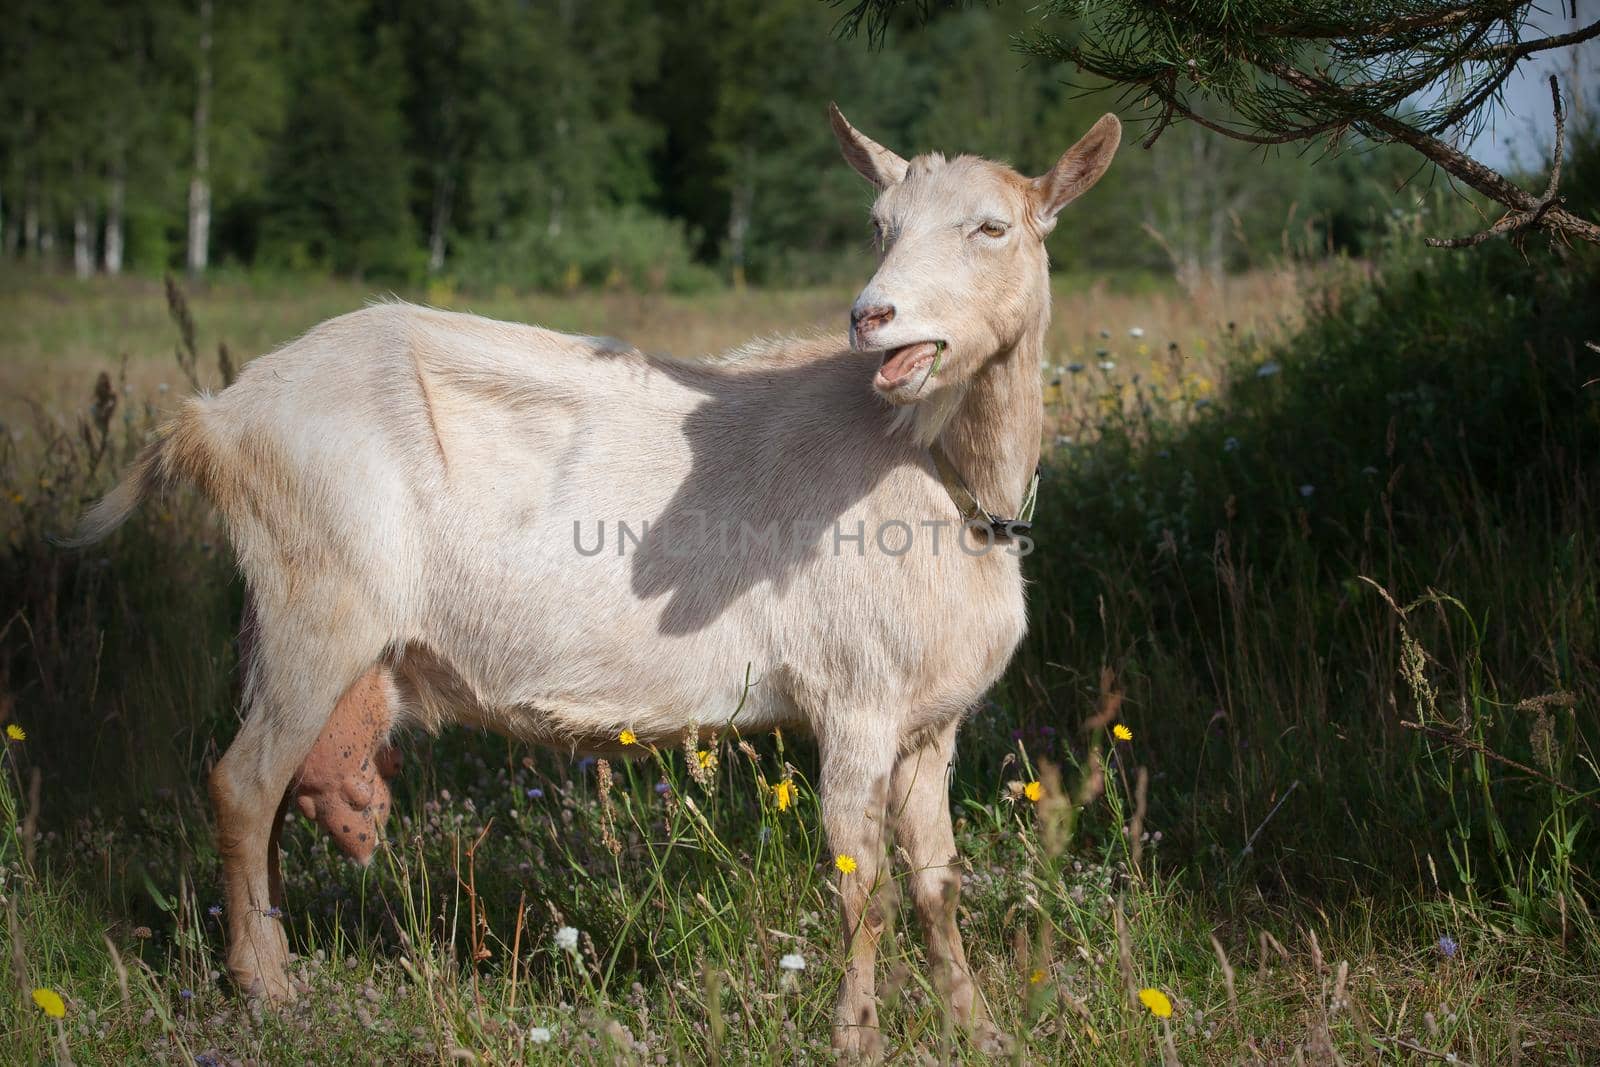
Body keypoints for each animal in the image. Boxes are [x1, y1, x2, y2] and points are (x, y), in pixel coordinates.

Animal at [75, 103, 1120, 1055]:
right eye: (879, 224)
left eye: (992, 227)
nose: (872, 317)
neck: (935, 468)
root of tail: (215, 418)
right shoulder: (854, 697)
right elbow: (861, 890)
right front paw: (856, 1037)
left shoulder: (929, 722)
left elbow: (938, 883)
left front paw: (979, 1028)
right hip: (315, 601)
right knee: (243, 784)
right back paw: (267, 989)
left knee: (277, 789)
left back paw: (274, 956)